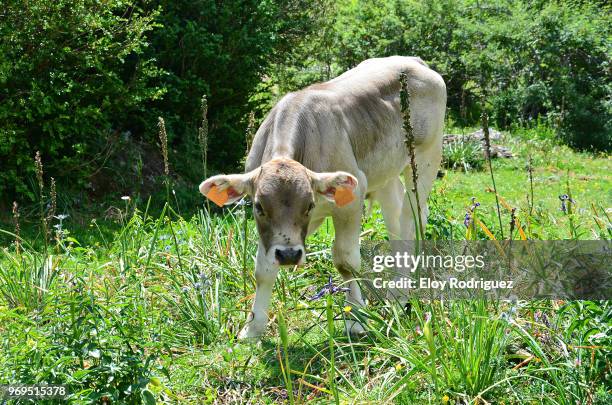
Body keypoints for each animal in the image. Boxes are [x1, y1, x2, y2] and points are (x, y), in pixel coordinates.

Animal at [201, 54, 444, 338]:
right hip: (385, 171)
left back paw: (399, 295)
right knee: (394, 219)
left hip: (426, 157)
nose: (288, 256)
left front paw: (356, 320)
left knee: (411, 219)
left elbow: (346, 262)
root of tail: (412, 60)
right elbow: (263, 269)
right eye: (259, 206)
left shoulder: (351, 200)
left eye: (309, 205)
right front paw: (253, 328)